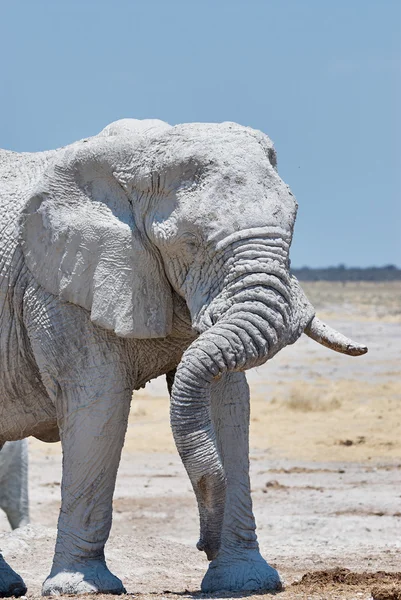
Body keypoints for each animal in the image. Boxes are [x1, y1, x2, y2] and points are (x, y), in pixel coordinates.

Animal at [0, 118, 366, 596]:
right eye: (190, 243)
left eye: (292, 226)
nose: (201, 543)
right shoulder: (57, 287)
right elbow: (99, 404)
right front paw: (84, 588)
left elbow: (227, 403)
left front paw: (244, 582)